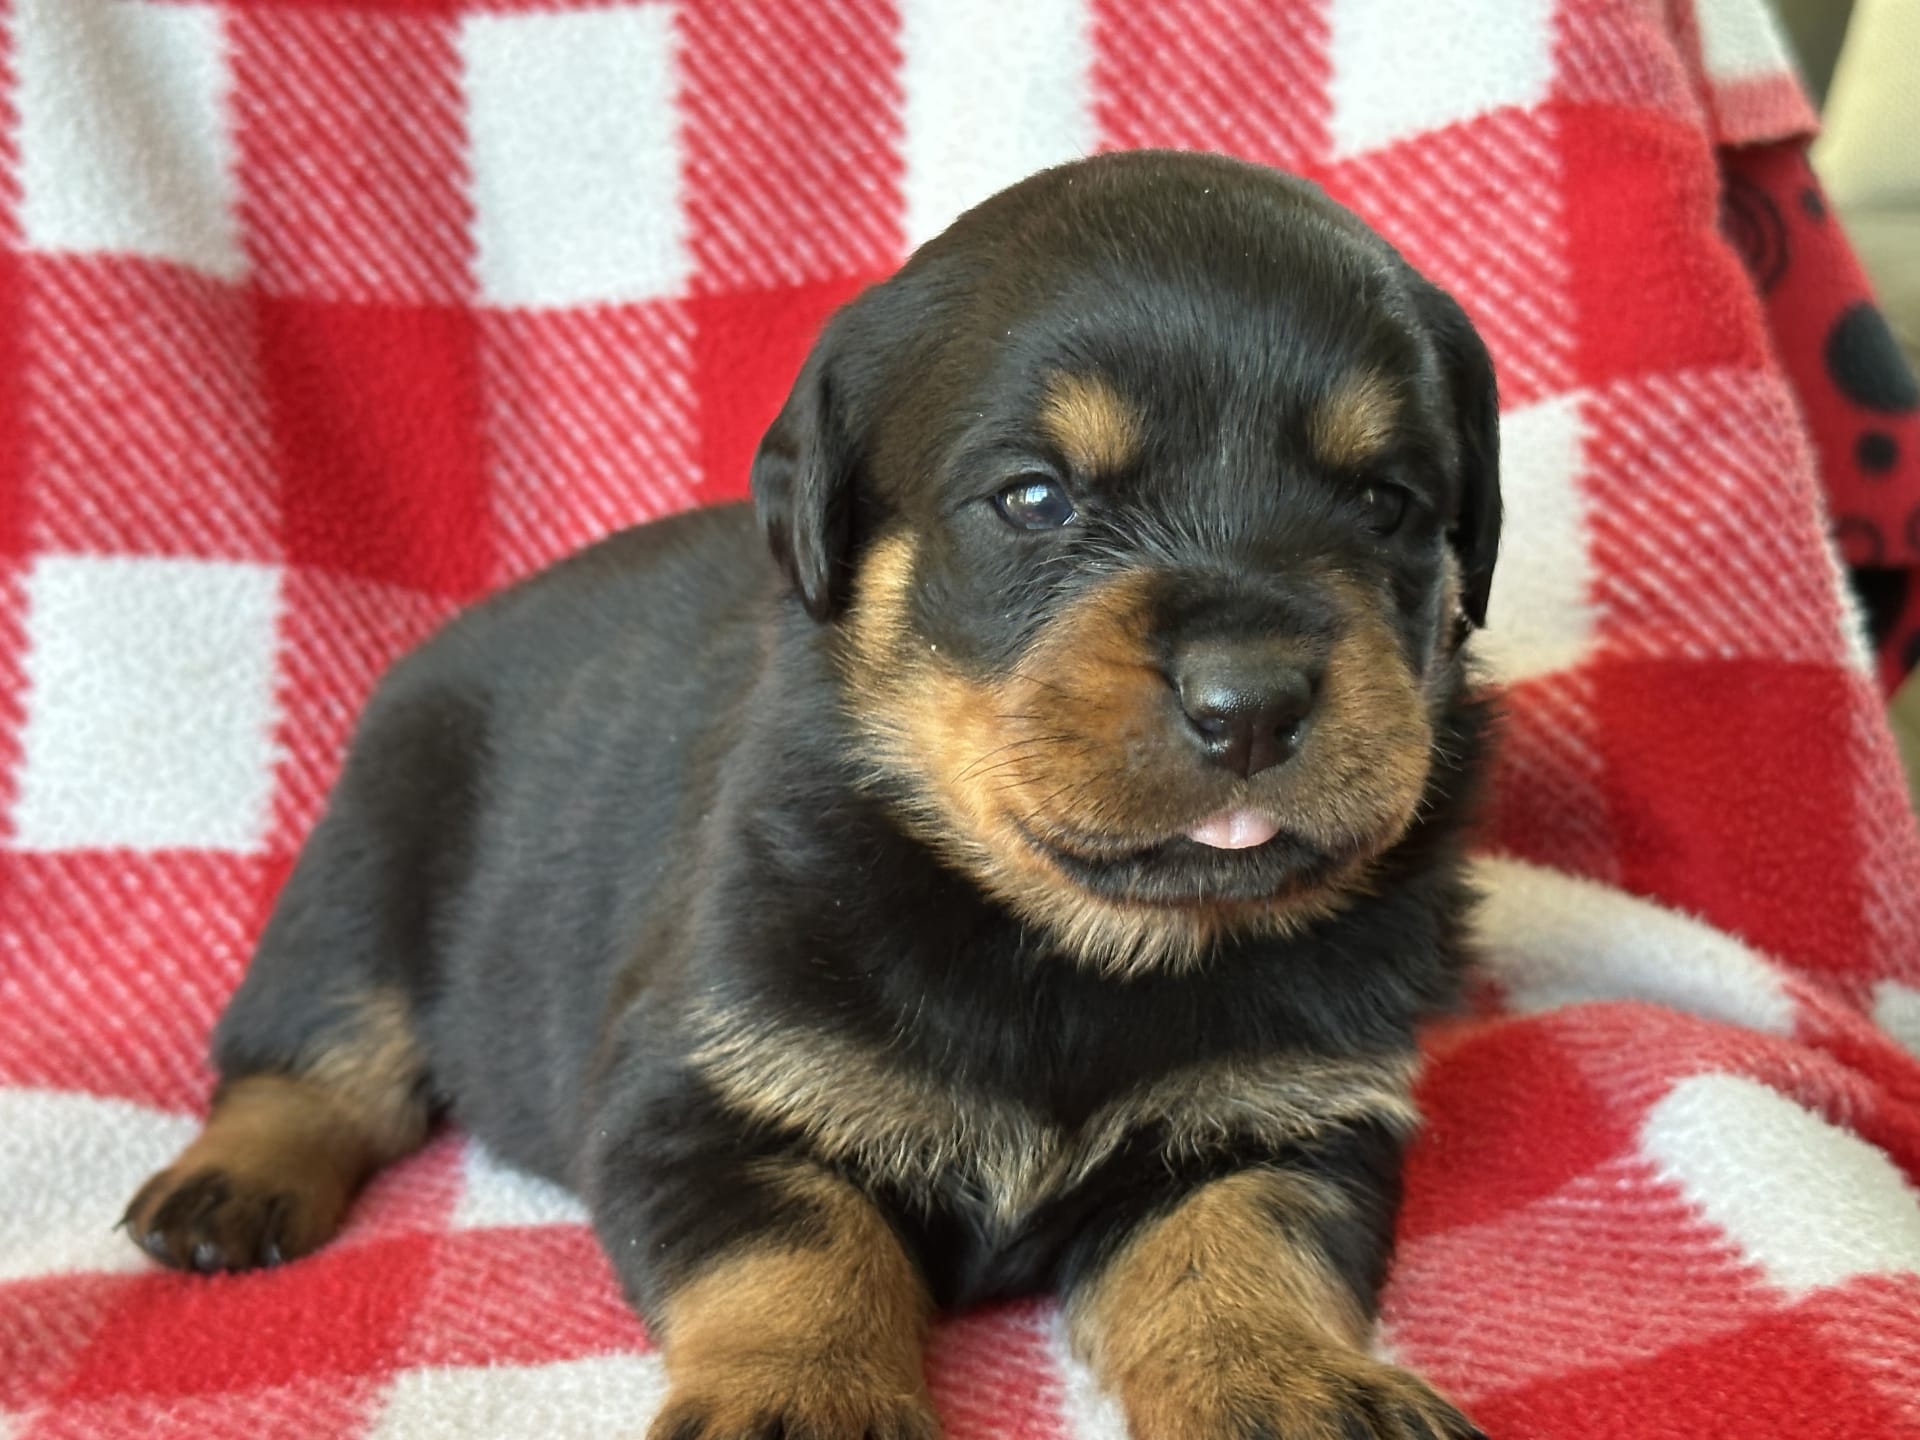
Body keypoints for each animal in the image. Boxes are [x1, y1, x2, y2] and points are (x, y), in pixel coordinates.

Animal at [123, 149, 1497, 1440]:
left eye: (1387, 503)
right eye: (1035, 496)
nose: (1249, 698)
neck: (1071, 947)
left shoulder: (1298, 1117)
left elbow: (1243, 1252)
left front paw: (1298, 1384)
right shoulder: (695, 1094)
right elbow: (802, 1250)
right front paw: (802, 1400)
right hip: (365, 857)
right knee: (318, 1051)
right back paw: (229, 1183)